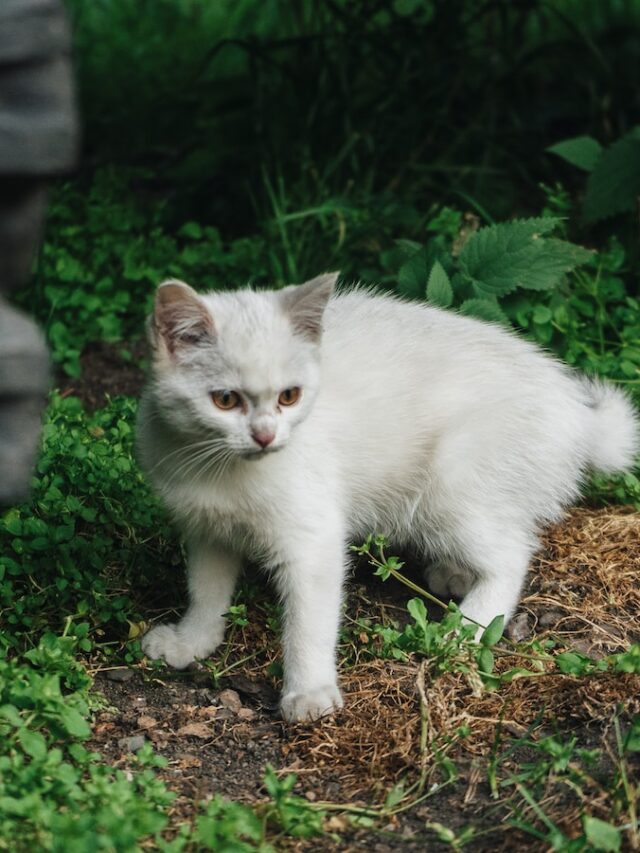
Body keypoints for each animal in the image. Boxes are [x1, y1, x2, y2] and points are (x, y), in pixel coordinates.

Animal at [138, 272, 636, 720]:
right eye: (224, 400)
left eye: (289, 396)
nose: (264, 436)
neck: (221, 468)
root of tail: (574, 409)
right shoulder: (206, 527)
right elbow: (205, 588)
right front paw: (191, 640)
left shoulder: (314, 539)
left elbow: (308, 624)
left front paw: (309, 692)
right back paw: (455, 575)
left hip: (449, 483)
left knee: (512, 553)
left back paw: (468, 626)